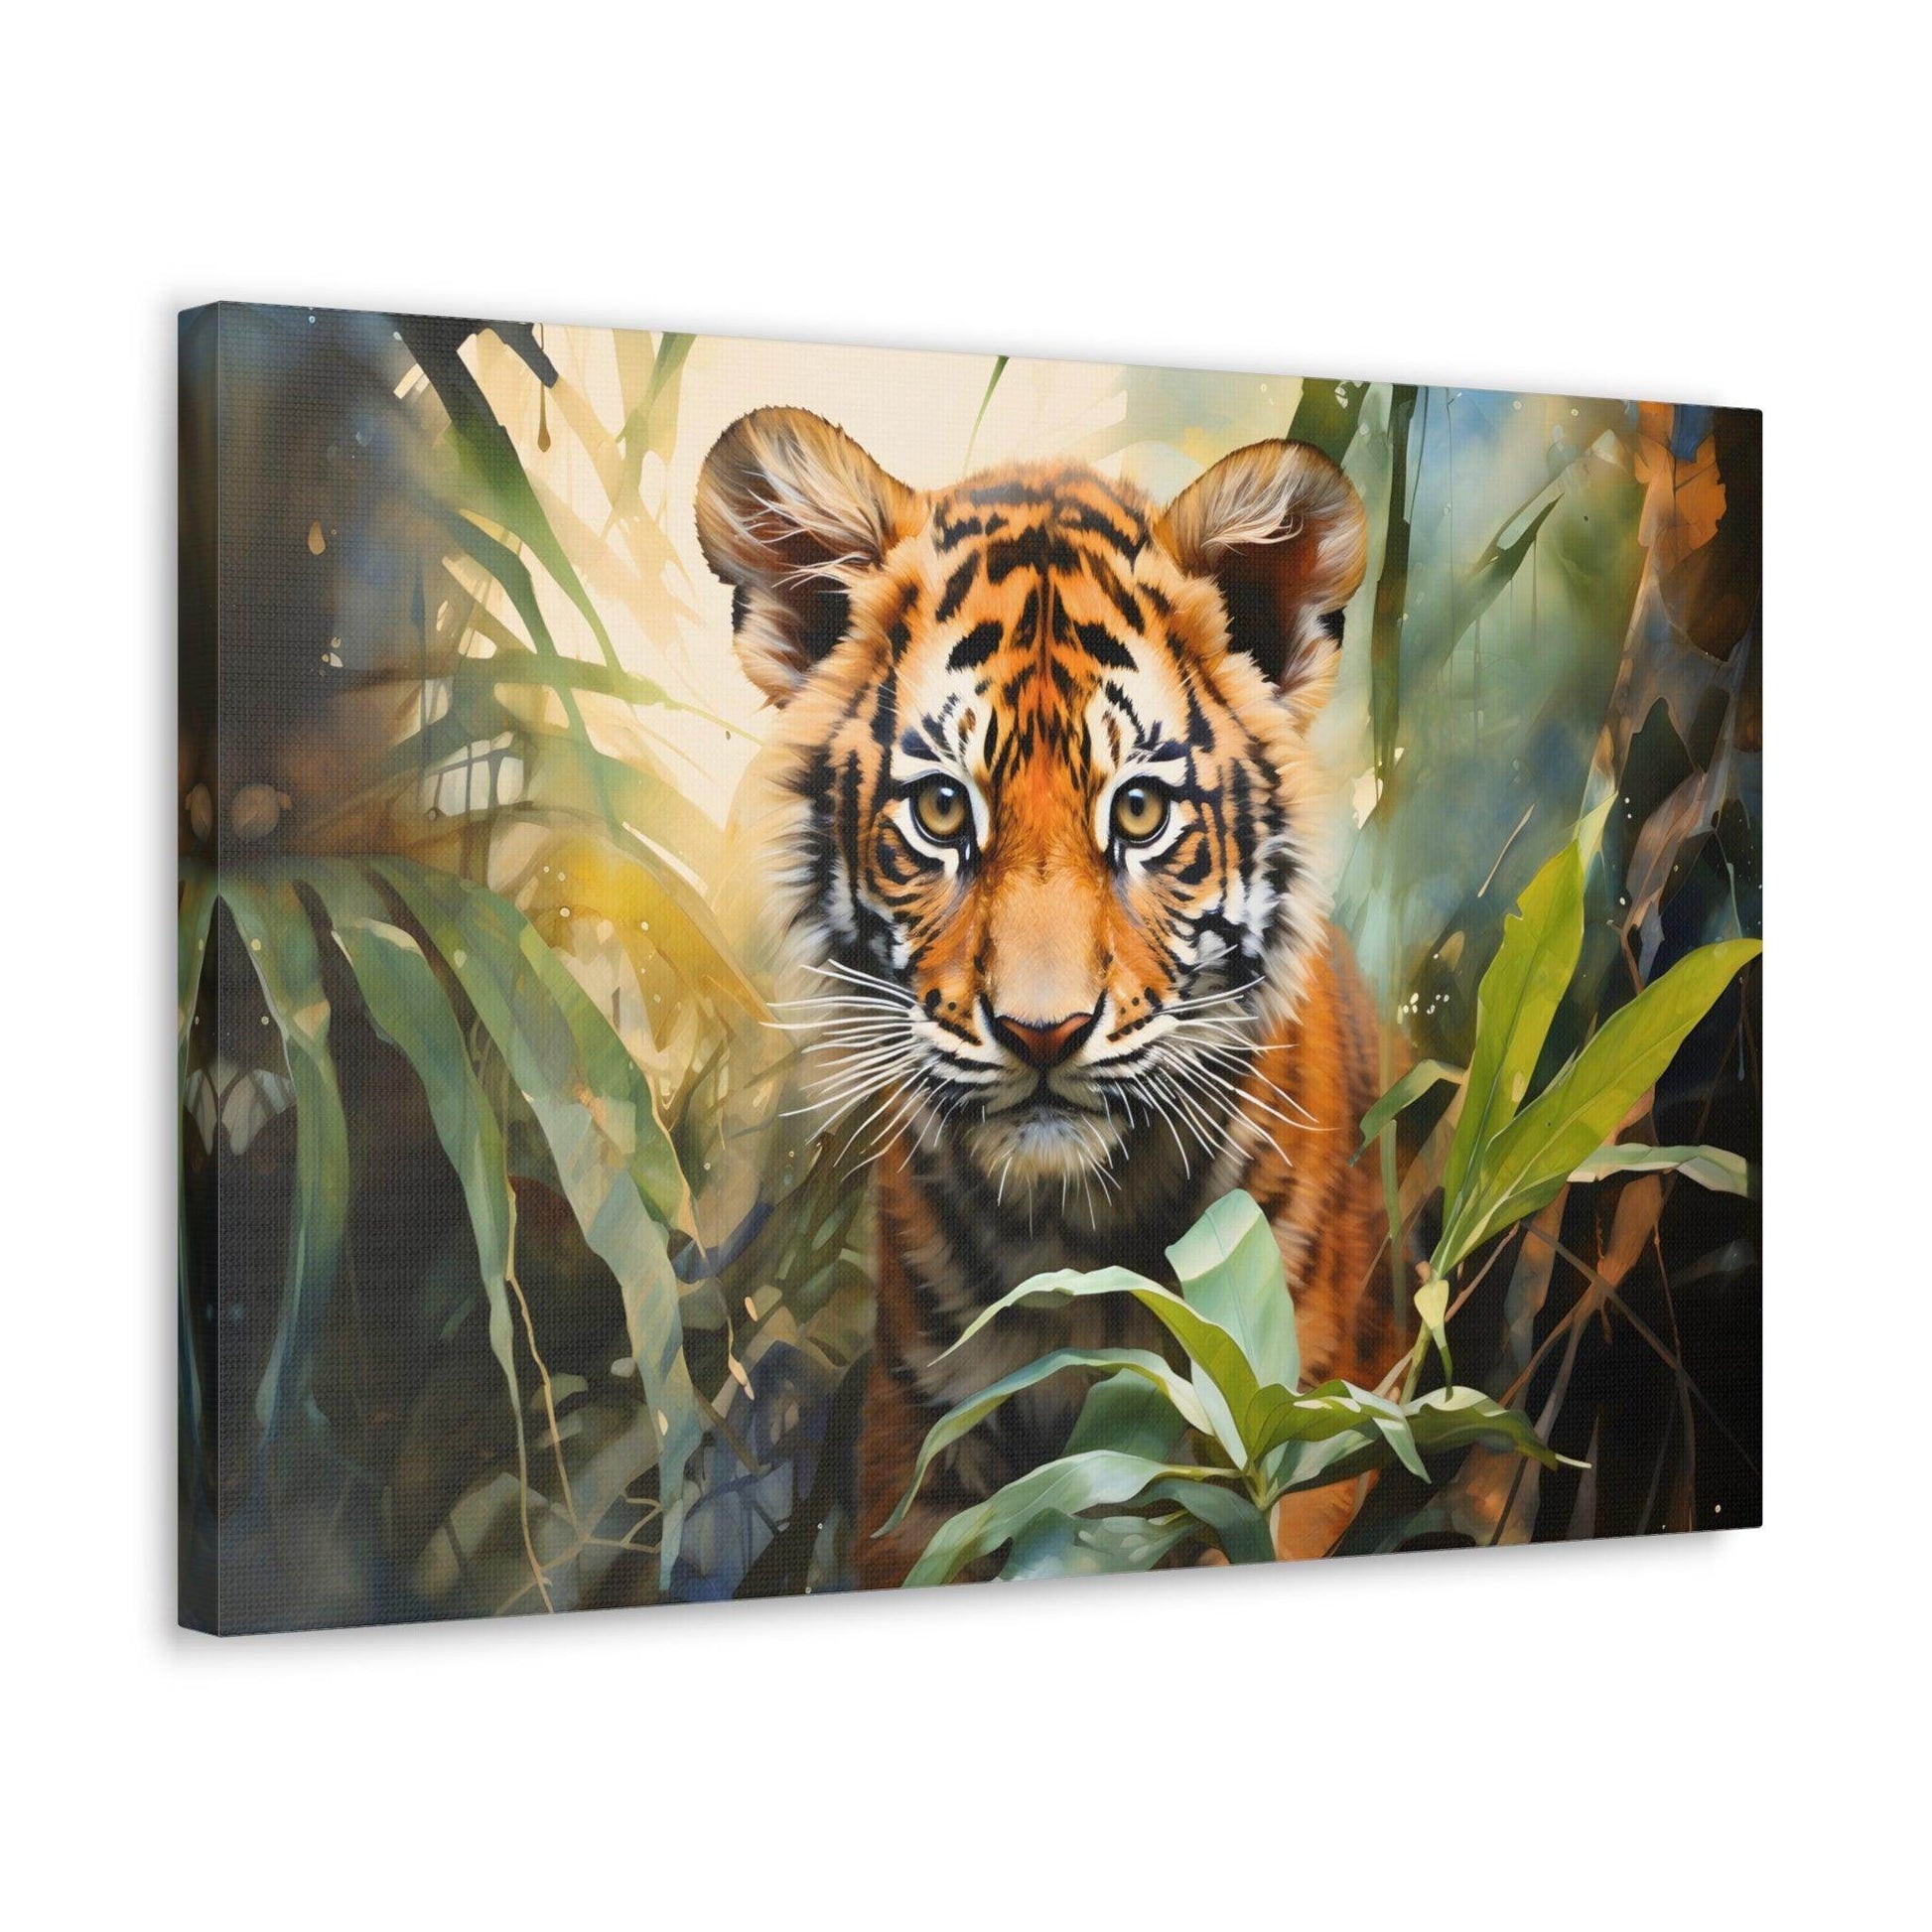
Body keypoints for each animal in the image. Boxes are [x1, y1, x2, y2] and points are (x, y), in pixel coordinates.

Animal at [697, 405, 1396, 1588]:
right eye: (940, 810)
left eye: (1141, 811)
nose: (1041, 1032)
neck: (1074, 1240)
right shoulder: (917, 1457)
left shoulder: (1298, 1445)